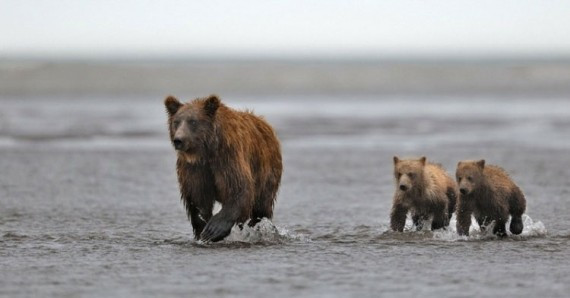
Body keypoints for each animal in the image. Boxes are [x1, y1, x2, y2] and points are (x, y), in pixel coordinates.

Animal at [163, 95, 280, 242]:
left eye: (193, 121)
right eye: (176, 122)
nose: (178, 140)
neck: (206, 151)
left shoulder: (228, 157)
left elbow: (239, 188)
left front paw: (213, 229)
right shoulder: (194, 168)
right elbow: (197, 197)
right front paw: (202, 227)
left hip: (266, 169)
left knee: (262, 206)